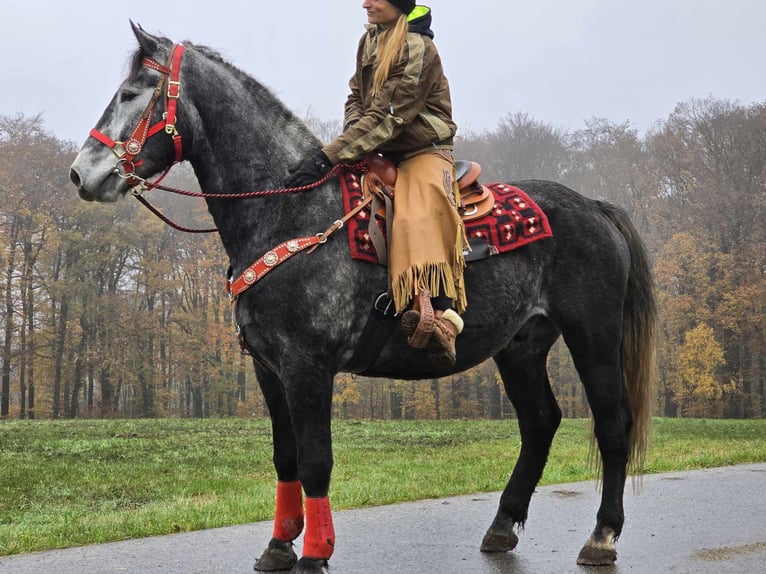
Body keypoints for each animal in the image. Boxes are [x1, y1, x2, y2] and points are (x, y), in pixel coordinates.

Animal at [69, 22, 656, 574]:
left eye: (131, 92)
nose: (81, 173)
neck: (291, 210)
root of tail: (594, 206)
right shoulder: (268, 368)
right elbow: (285, 459)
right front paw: (279, 545)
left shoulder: (308, 367)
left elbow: (315, 461)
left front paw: (314, 553)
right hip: (520, 347)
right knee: (539, 423)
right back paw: (502, 527)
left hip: (592, 337)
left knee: (612, 424)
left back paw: (602, 536)